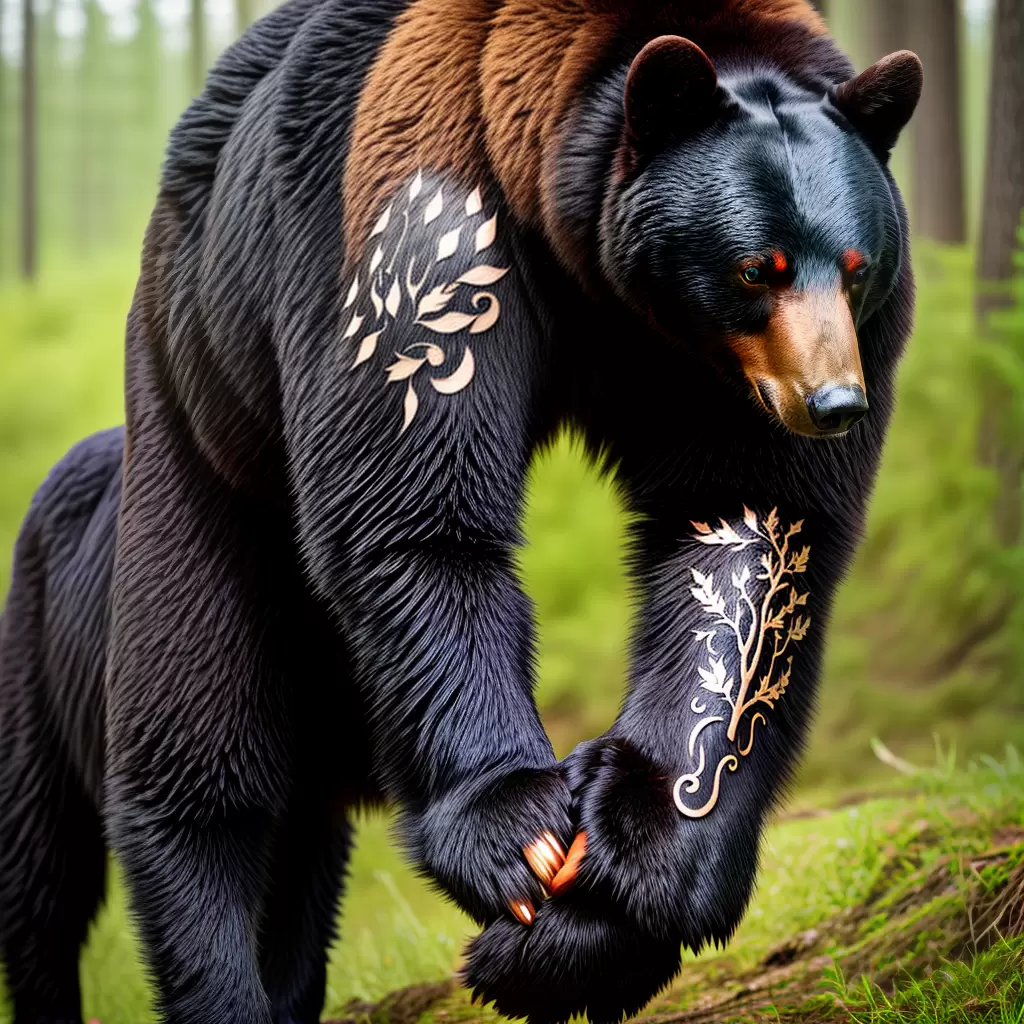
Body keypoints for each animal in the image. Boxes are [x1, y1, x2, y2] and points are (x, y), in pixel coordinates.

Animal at [0, 1, 922, 1022]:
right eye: (758, 268)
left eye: (857, 266)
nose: (833, 404)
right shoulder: (423, 212)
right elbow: (415, 504)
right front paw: (517, 835)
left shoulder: (716, 373)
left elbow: (747, 538)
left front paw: (607, 897)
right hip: (196, 392)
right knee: (192, 737)